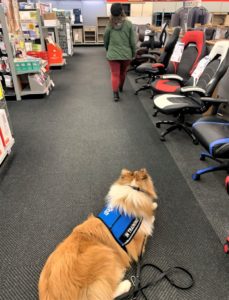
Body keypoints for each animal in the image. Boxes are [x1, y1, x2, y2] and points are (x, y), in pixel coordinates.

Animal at [39, 169, 157, 300]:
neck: (132, 188)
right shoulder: (137, 245)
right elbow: (147, 224)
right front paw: (151, 215)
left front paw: (153, 205)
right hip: (104, 253)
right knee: (105, 294)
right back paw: (125, 283)